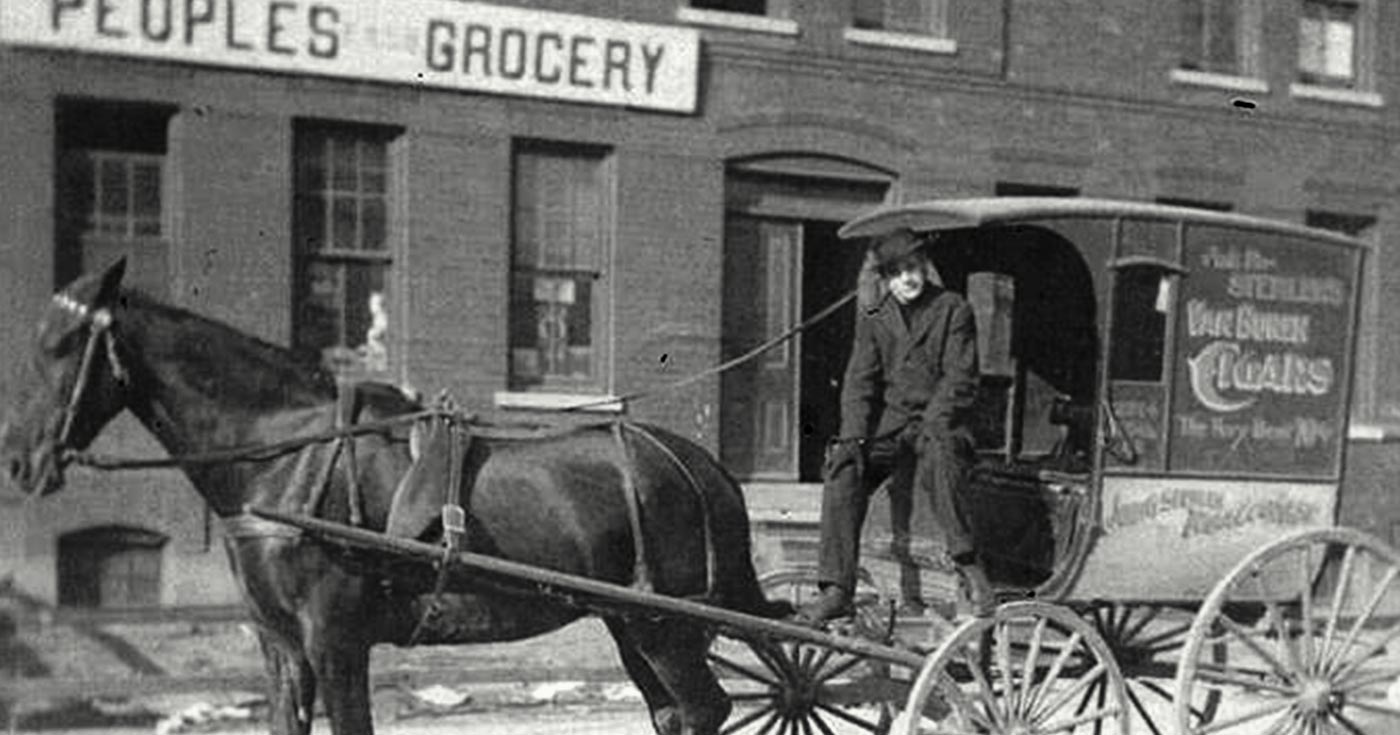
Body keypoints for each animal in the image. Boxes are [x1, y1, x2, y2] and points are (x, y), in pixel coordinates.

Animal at [0, 260, 789, 728]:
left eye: (63, 347)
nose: (17, 459)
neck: (288, 457)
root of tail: (699, 464)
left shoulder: (336, 642)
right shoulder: (281, 647)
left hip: (666, 626)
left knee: (705, 707)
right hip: (630, 622)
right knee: (676, 712)